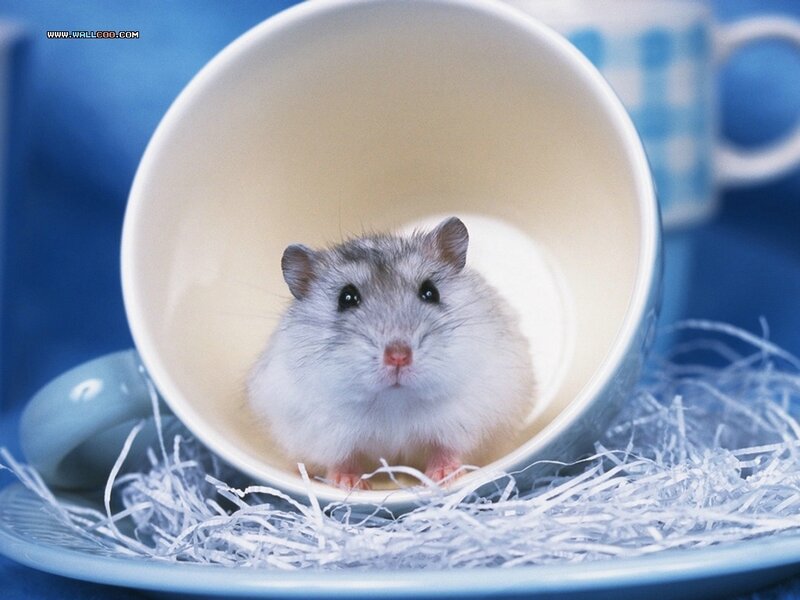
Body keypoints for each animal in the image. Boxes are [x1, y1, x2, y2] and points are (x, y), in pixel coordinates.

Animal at [247, 217, 535, 490]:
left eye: (430, 292)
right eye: (346, 298)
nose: (398, 357)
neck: (394, 400)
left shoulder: (464, 420)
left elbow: (446, 449)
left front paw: (442, 477)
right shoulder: (323, 433)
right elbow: (342, 459)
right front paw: (348, 484)